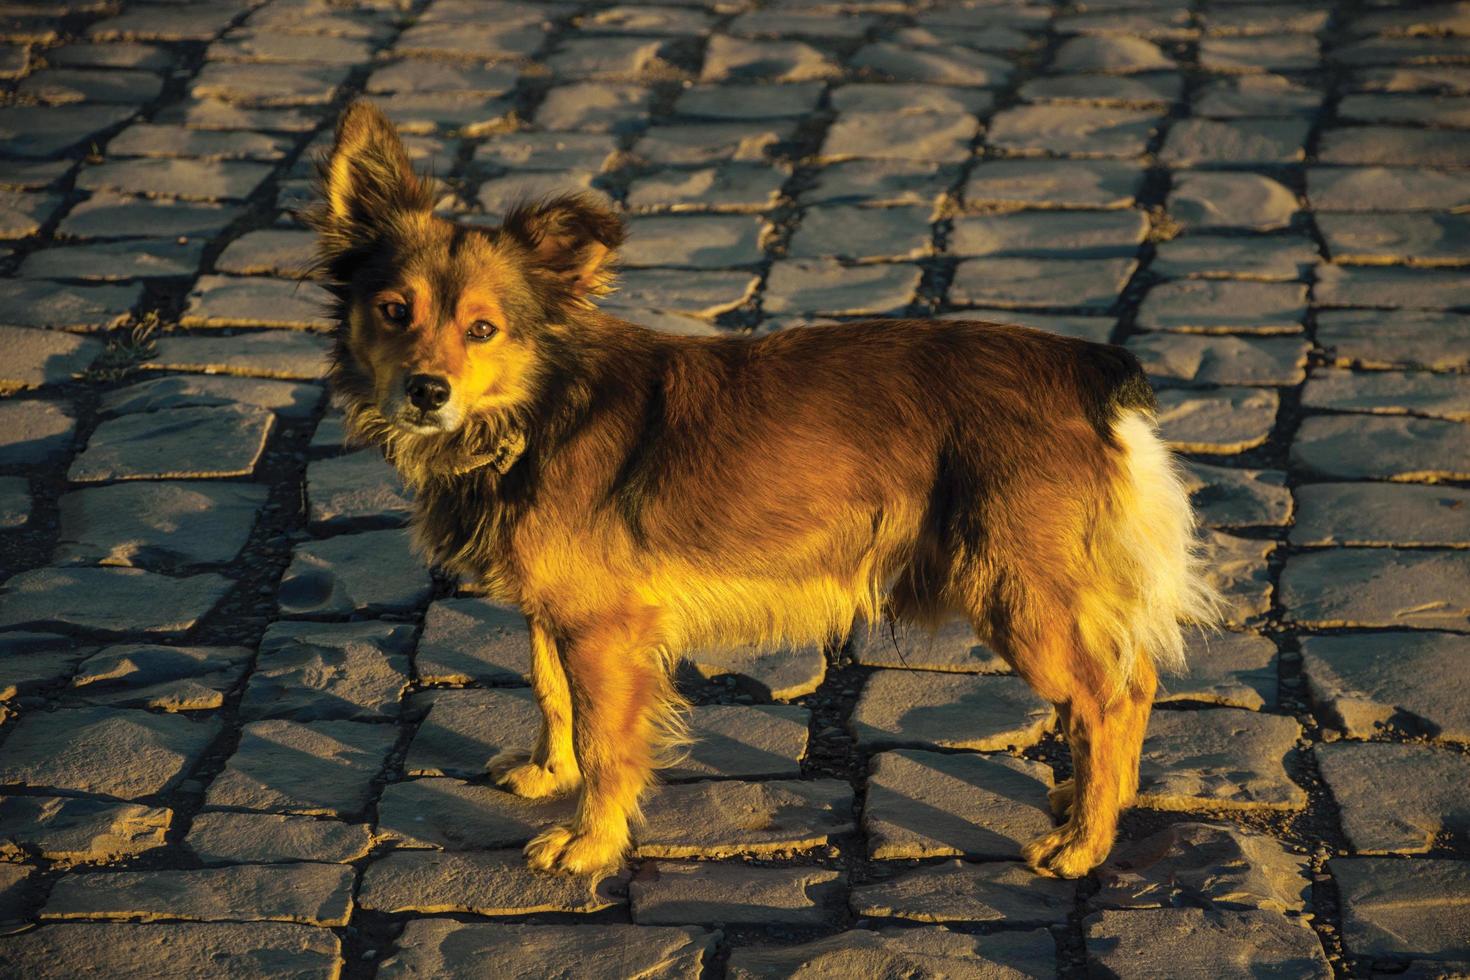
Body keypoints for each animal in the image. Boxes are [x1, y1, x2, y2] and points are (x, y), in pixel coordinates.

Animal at [313, 101, 1228, 881]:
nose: (426, 392)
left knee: (1110, 698)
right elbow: (550, 693)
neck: (538, 409)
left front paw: (590, 843)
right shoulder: (559, 610)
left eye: (483, 330)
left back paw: (1085, 844)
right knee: (1134, 682)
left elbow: (608, 742)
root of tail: (1087, 369)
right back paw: (1091, 802)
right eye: (392, 310)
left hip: (1014, 595)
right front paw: (549, 771)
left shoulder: (606, 629)